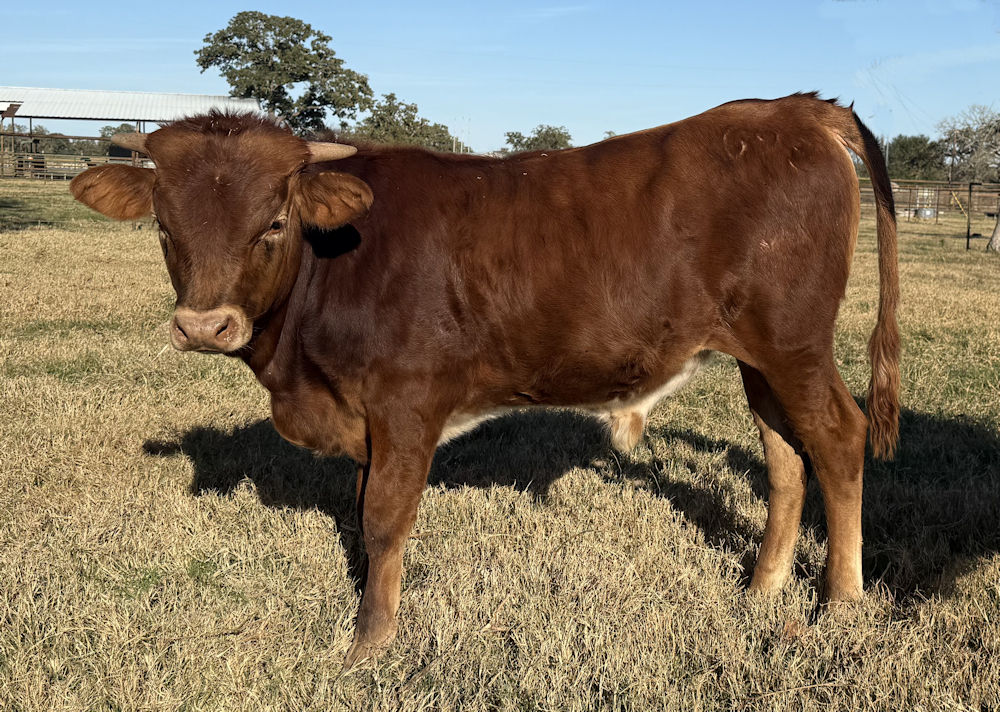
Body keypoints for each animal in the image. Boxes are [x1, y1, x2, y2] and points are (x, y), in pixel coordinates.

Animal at [70, 92, 899, 668]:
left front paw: (370, 643)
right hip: (759, 358)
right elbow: (363, 518)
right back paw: (762, 589)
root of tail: (790, 109)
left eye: (272, 223)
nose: (204, 327)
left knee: (838, 438)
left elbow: (384, 519)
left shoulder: (406, 403)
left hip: (794, 344)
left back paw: (841, 600)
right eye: (165, 225)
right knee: (786, 457)